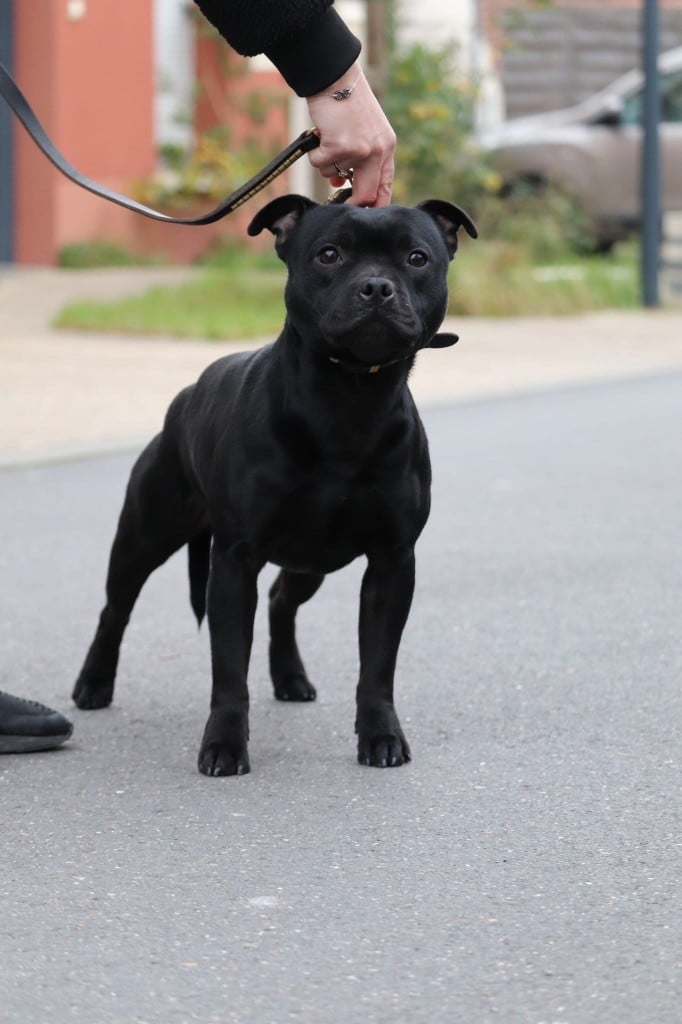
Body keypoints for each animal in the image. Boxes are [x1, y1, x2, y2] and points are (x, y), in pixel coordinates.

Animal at [71, 193, 475, 774]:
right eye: (329, 254)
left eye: (417, 258)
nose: (376, 286)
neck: (349, 398)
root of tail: (185, 397)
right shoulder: (234, 562)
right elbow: (228, 669)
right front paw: (223, 745)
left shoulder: (392, 563)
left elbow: (377, 666)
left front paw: (381, 737)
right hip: (144, 536)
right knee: (115, 609)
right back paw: (93, 684)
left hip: (314, 560)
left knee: (284, 599)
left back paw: (290, 678)